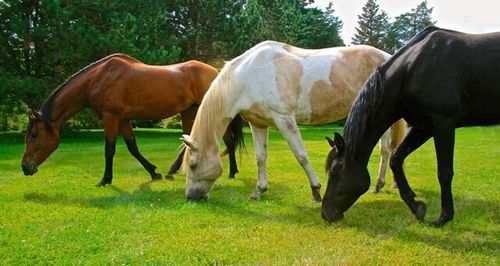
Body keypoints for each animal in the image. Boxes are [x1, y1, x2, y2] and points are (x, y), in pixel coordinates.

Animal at [21, 53, 244, 187]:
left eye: (34, 134)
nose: (24, 167)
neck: (98, 78)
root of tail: (216, 72)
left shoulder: (110, 117)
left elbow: (109, 149)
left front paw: (105, 180)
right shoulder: (123, 120)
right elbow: (132, 147)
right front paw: (154, 172)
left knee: (228, 140)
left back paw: (232, 172)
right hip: (190, 111)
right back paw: (172, 171)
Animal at [180, 40, 402, 201]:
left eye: (193, 165)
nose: (191, 197)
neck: (249, 75)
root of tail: (387, 56)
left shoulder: (284, 119)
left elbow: (301, 155)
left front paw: (316, 191)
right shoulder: (258, 123)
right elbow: (261, 157)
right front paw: (259, 191)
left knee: (385, 150)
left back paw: (378, 185)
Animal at [320, 26, 500, 227]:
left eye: (334, 171)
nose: (325, 213)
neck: (413, 69)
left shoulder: (443, 125)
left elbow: (444, 172)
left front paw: (443, 217)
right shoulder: (423, 127)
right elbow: (395, 159)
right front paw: (417, 206)